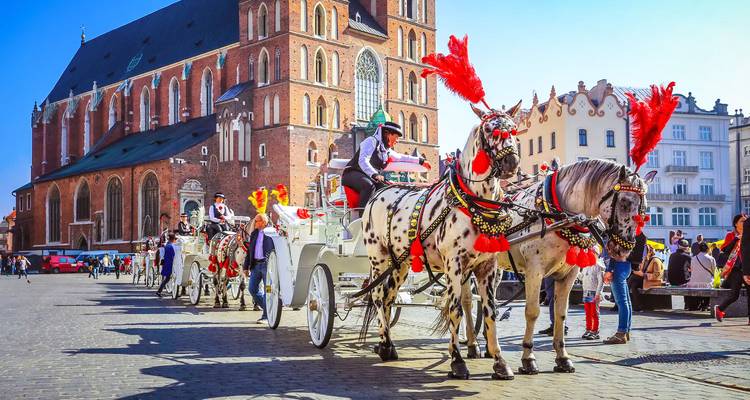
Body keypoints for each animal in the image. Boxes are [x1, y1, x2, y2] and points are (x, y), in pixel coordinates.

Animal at [360, 102, 522, 380]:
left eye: (513, 130)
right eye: (490, 130)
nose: (511, 162)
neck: (475, 202)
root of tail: (379, 191)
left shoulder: (487, 268)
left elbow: (490, 311)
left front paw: (499, 361)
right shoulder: (454, 265)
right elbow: (455, 309)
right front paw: (457, 360)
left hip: (400, 265)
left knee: (389, 298)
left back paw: (385, 344)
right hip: (378, 259)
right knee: (379, 297)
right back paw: (386, 345)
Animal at [463, 159, 654, 375]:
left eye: (645, 208)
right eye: (624, 203)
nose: (624, 249)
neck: (557, 213)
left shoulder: (569, 274)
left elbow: (561, 314)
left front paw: (563, 358)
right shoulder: (534, 271)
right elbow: (532, 312)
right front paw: (528, 358)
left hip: (494, 268)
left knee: (488, 302)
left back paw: (488, 347)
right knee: (467, 302)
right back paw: (472, 345)